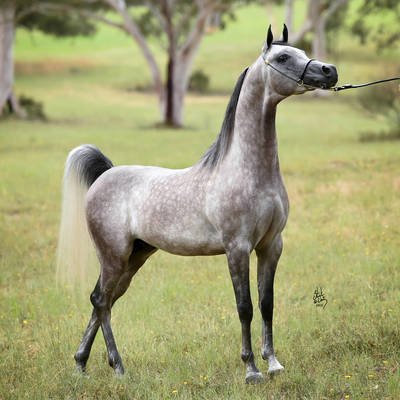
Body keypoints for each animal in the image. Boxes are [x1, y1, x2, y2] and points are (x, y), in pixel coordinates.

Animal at [57, 24, 338, 383]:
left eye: (302, 52)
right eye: (283, 57)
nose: (329, 71)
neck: (247, 171)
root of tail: (105, 174)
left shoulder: (271, 245)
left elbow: (267, 303)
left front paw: (273, 364)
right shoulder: (237, 248)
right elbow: (245, 307)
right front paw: (251, 370)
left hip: (135, 256)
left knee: (103, 301)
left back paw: (81, 364)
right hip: (113, 255)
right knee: (101, 301)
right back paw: (118, 367)